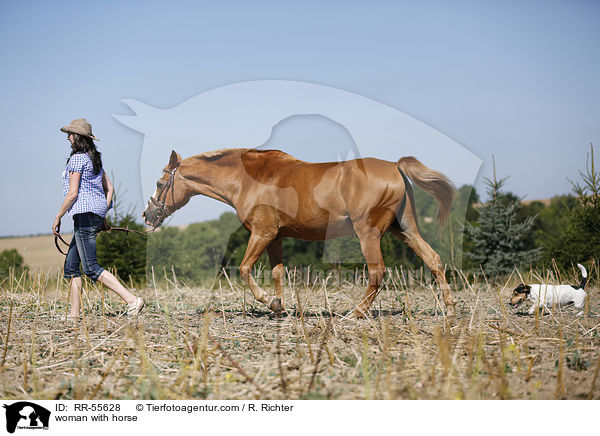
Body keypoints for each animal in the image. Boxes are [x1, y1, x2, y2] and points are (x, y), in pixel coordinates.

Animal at [143, 149, 458, 316]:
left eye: (159, 184)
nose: (148, 215)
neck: (248, 179)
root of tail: (394, 166)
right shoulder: (276, 237)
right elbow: (277, 273)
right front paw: (279, 307)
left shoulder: (262, 233)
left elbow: (245, 269)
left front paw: (269, 301)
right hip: (404, 230)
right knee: (433, 260)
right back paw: (450, 307)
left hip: (369, 234)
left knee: (378, 272)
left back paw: (355, 313)